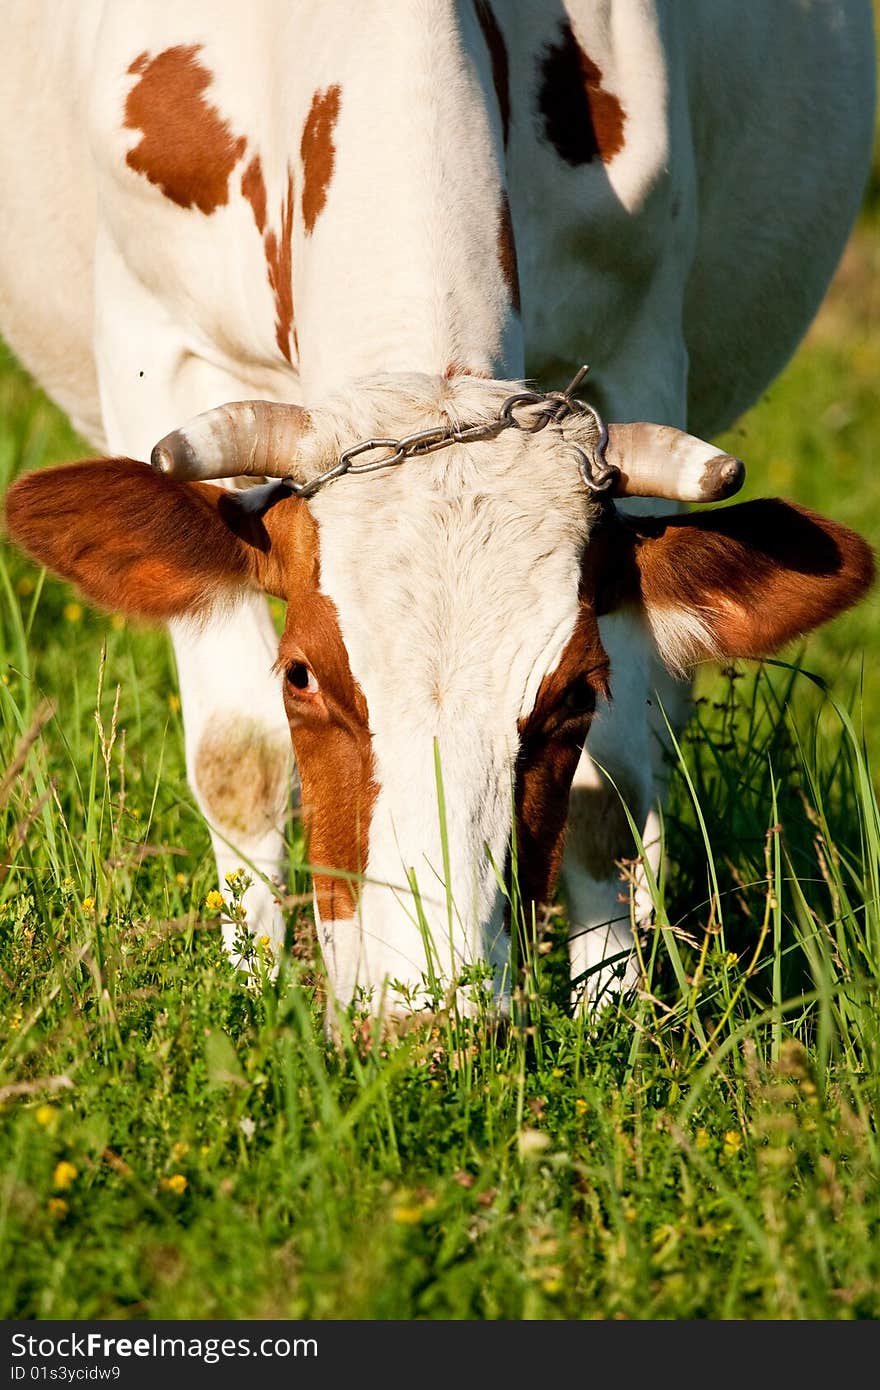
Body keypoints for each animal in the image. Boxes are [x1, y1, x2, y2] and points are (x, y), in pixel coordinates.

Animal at [0, 0, 873, 1023]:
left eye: (575, 693)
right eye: (301, 675)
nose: (429, 1020)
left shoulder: (638, 350)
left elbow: (608, 790)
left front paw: (611, 1017)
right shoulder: (156, 345)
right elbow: (238, 757)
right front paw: (254, 1001)